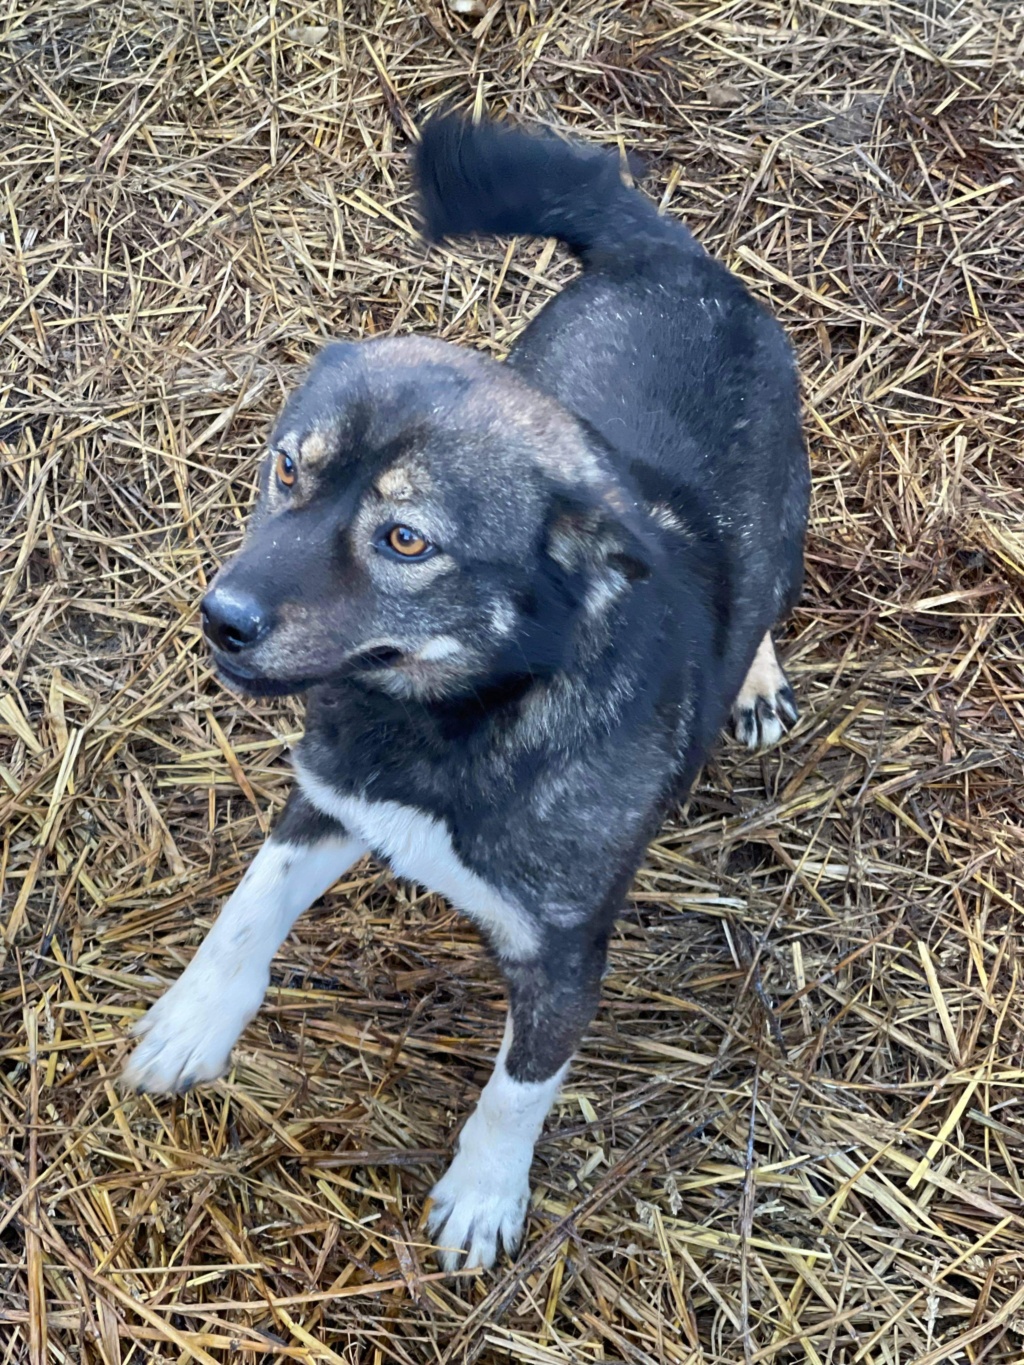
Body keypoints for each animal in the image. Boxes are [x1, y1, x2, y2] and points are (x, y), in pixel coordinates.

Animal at [122, 114, 808, 1266]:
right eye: (287, 469)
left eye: (406, 540)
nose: (223, 617)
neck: (448, 721)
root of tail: (668, 255)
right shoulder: (328, 799)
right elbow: (245, 914)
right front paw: (193, 1022)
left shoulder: (564, 956)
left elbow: (516, 1090)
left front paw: (485, 1195)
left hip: (785, 529)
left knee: (760, 600)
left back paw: (752, 677)